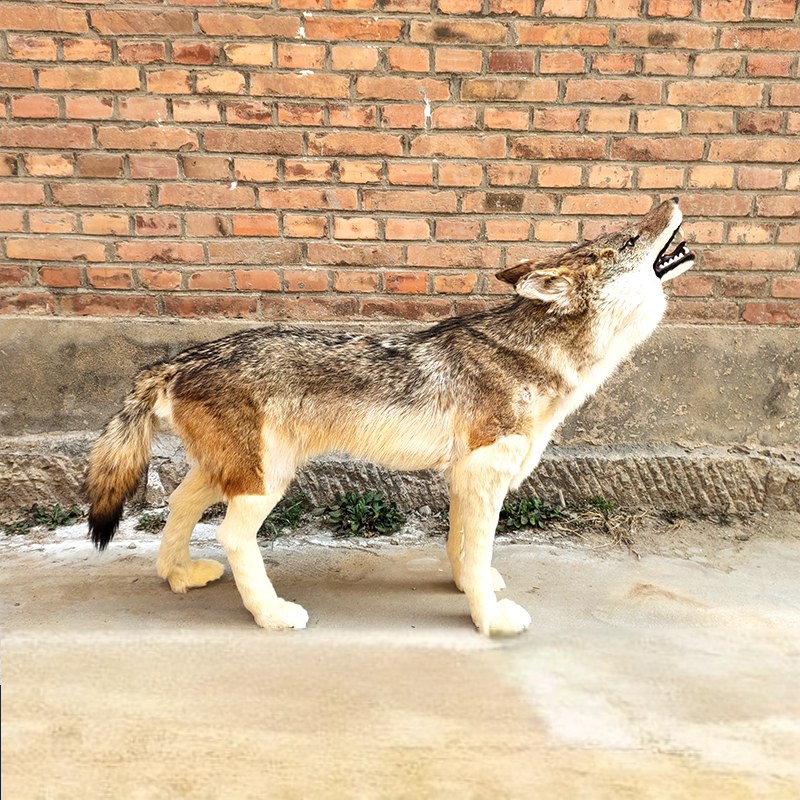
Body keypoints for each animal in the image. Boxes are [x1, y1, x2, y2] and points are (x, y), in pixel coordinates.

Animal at [86, 198, 694, 637]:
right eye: (631, 238)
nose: (672, 197)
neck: (539, 356)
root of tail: (176, 360)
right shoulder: (484, 473)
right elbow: (477, 552)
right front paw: (490, 621)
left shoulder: (465, 475)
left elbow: (463, 551)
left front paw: (468, 589)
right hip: (265, 482)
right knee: (231, 535)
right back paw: (273, 615)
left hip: (233, 472)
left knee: (179, 505)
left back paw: (180, 576)